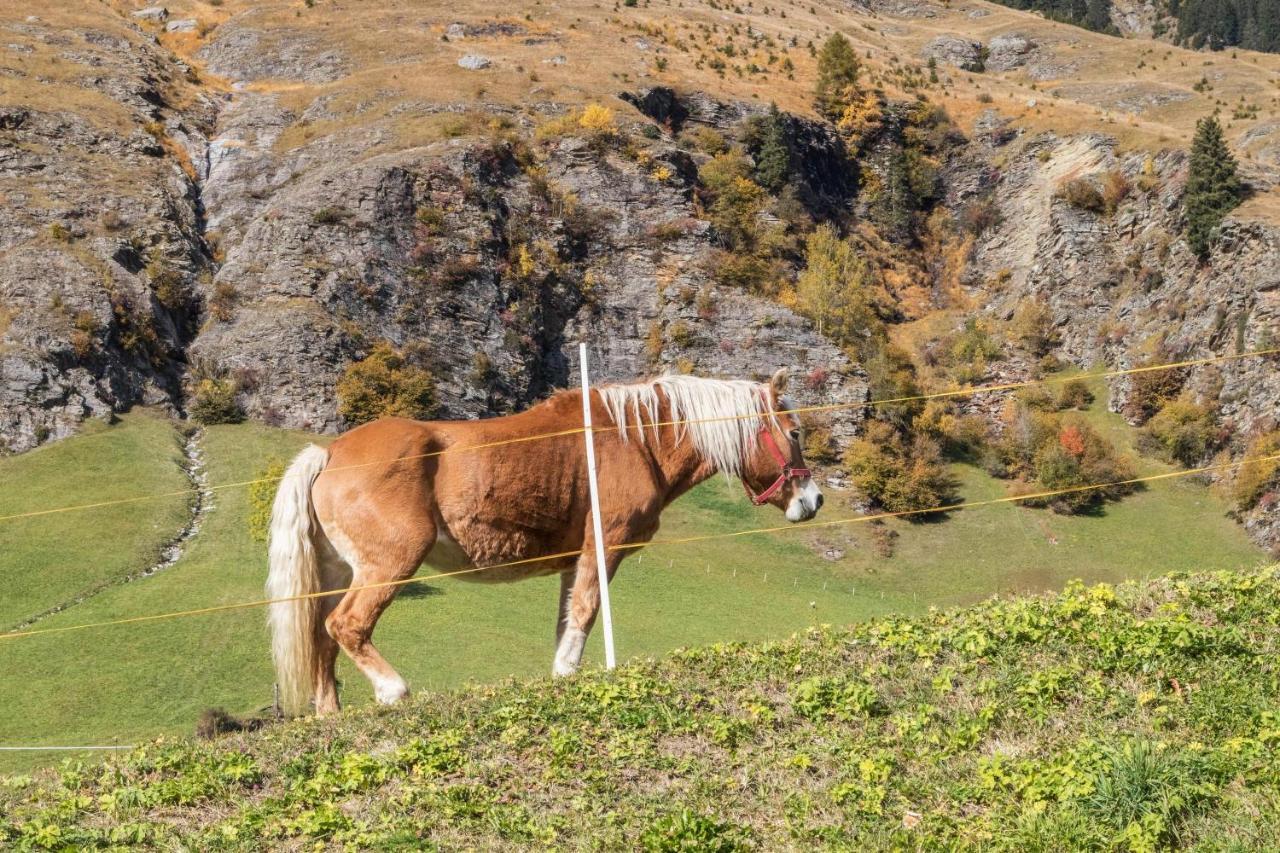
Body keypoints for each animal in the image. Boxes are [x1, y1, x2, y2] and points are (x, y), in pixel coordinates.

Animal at [266, 366, 824, 712]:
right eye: (794, 431)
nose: (813, 499)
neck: (635, 439)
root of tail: (329, 453)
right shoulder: (604, 546)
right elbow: (586, 613)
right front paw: (567, 674)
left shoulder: (573, 560)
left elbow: (566, 619)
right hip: (391, 562)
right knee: (346, 625)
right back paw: (393, 690)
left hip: (339, 570)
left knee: (320, 635)